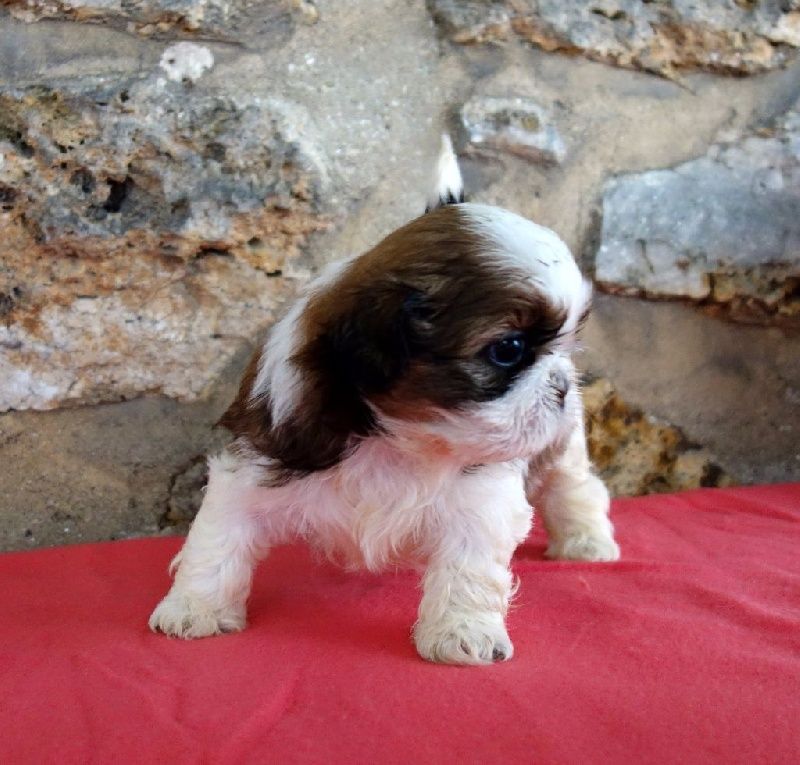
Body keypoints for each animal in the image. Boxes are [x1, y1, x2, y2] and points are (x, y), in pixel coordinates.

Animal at [149, 136, 619, 664]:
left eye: (566, 340)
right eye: (509, 349)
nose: (561, 384)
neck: (395, 440)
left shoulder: (481, 496)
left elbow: (469, 567)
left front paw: (462, 630)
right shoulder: (257, 458)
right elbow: (218, 536)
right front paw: (195, 607)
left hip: (562, 445)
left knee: (574, 487)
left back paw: (585, 541)